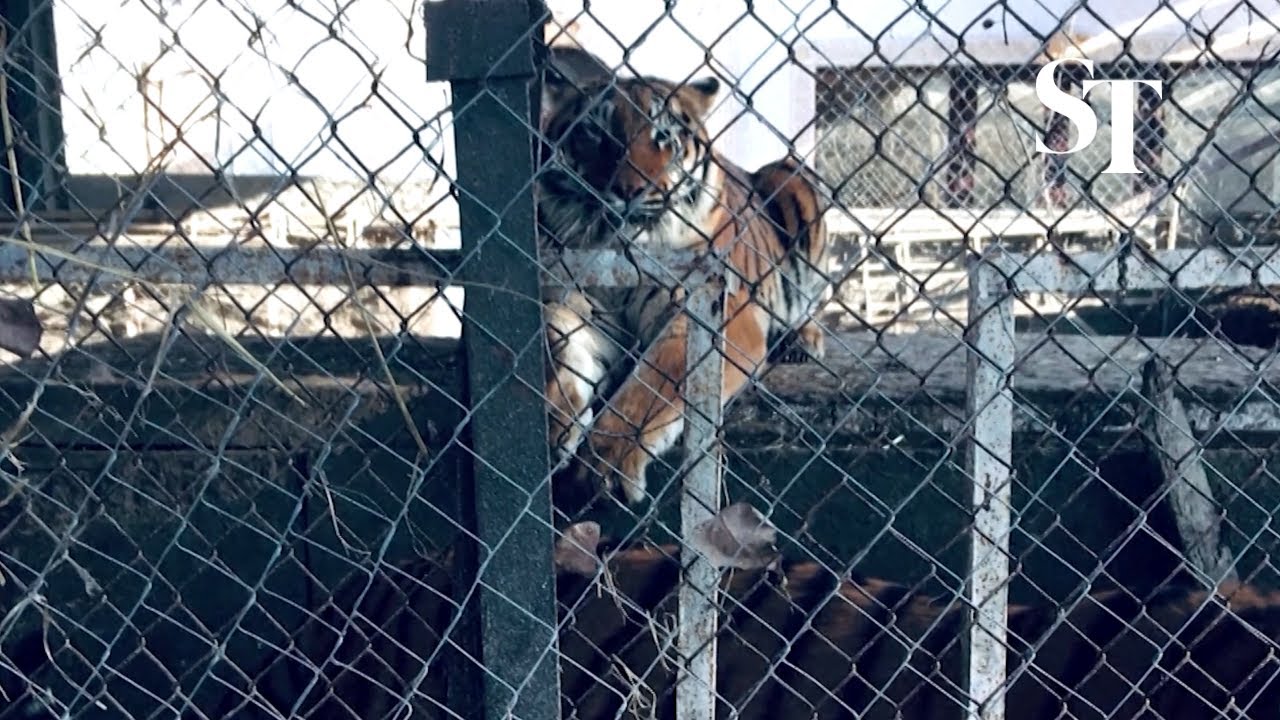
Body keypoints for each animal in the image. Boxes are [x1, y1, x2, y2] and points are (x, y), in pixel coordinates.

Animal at [537, 60, 832, 508]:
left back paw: (802, 339)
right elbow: (559, 339)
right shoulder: (582, 304)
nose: (629, 191)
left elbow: (653, 384)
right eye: (596, 133)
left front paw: (605, 463)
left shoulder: (712, 314)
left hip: (796, 183)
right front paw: (555, 420)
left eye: (662, 135)